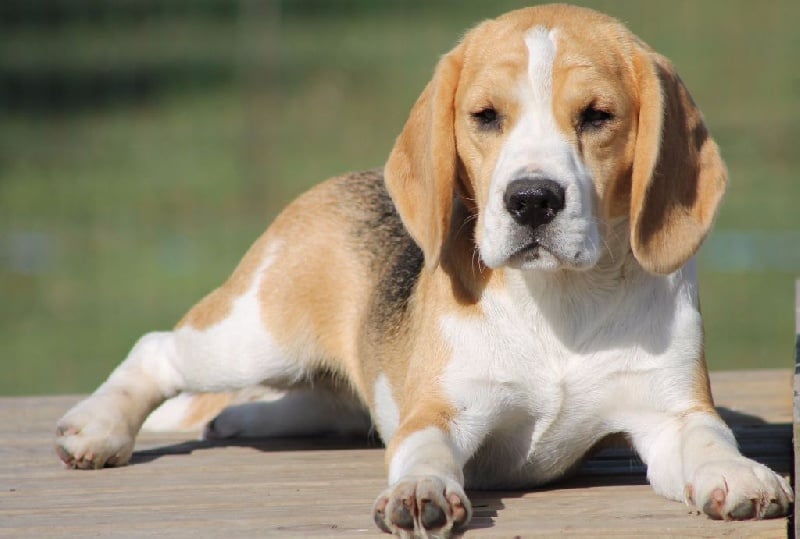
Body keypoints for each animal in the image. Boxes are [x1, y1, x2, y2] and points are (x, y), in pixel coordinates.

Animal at [57, 5, 792, 539]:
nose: (532, 199)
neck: (559, 301)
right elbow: (422, 450)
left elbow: (708, 438)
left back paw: (233, 421)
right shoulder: (441, 409)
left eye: (597, 117)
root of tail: (328, 186)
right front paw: (420, 492)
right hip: (254, 336)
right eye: (486, 116)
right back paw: (98, 427)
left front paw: (740, 475)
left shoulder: (671, 412)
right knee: (157, 349)